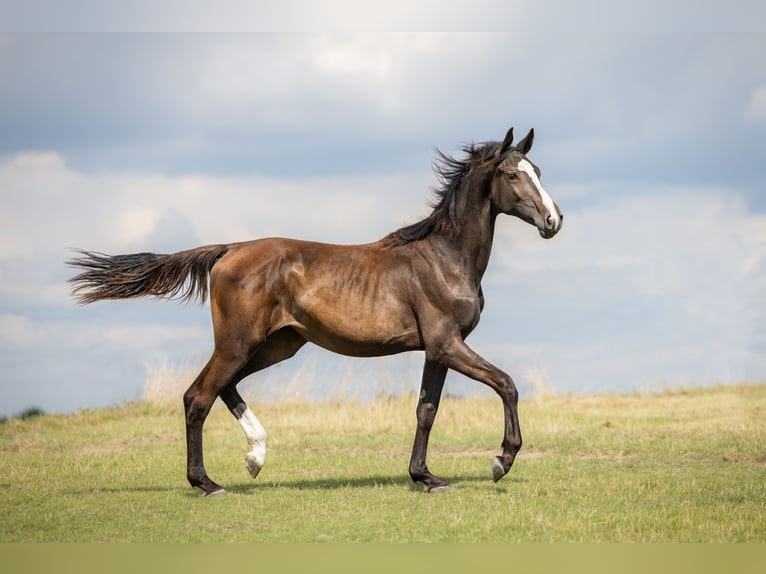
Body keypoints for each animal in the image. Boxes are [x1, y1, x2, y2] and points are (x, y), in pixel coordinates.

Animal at [69, 127, 564, 496]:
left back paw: (255, 457)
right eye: (511, 175)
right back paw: (208, 483)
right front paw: (501, 461)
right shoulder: (448, 344)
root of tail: (229, 249)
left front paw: (426, 477)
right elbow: (507, 384)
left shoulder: (436, 350)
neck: (445, 257)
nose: (553, 221)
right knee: (198, 397)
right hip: (238, 343)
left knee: (223, 388)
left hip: (276, 346)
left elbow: (426, 410)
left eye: (537, 170)